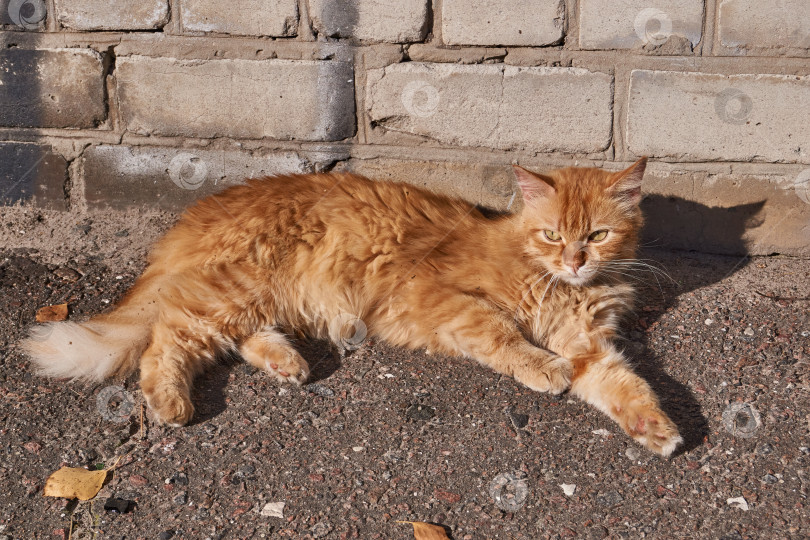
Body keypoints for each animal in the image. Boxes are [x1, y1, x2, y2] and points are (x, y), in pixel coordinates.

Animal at [23, 159, 680, 456]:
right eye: (552, 236)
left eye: (596, 236)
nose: (574, 260)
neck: (562, 287)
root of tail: (203, 207)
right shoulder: (445, 299)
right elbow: (502, 333)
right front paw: (541, 367)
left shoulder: (590, 345)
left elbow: (626, 385)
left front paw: (658, 428)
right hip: (235, 290)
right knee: (169, 335)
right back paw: (169, 400)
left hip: (256, 297)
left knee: (231, 335)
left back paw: (287, 361)